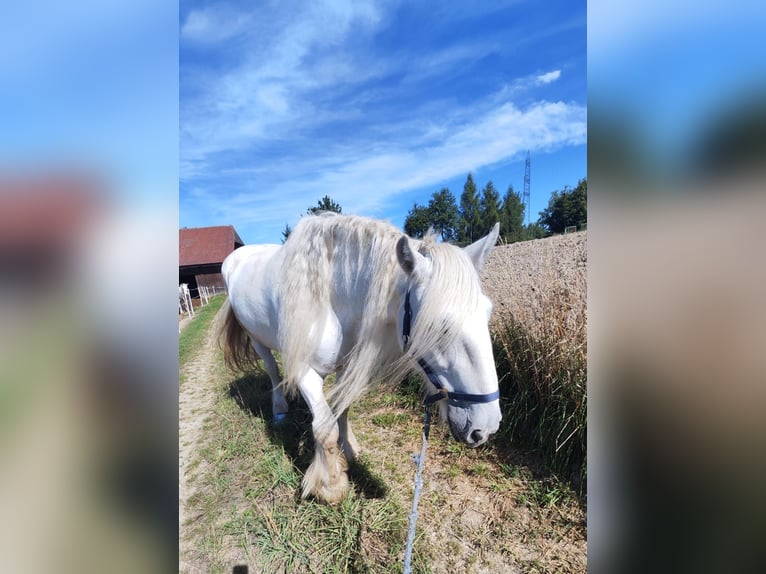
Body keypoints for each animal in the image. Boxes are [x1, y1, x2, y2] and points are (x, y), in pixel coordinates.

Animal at [220, 213, 501, 503]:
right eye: (439, 326)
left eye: (488, 312)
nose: (486, 427)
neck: (331, 301)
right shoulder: (307, 374)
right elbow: (325, 429)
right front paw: (331, 485)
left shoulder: (345, 366)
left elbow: (342, 411)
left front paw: (349, 450)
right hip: (257, 340)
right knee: (273, 371)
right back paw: (279, 409)